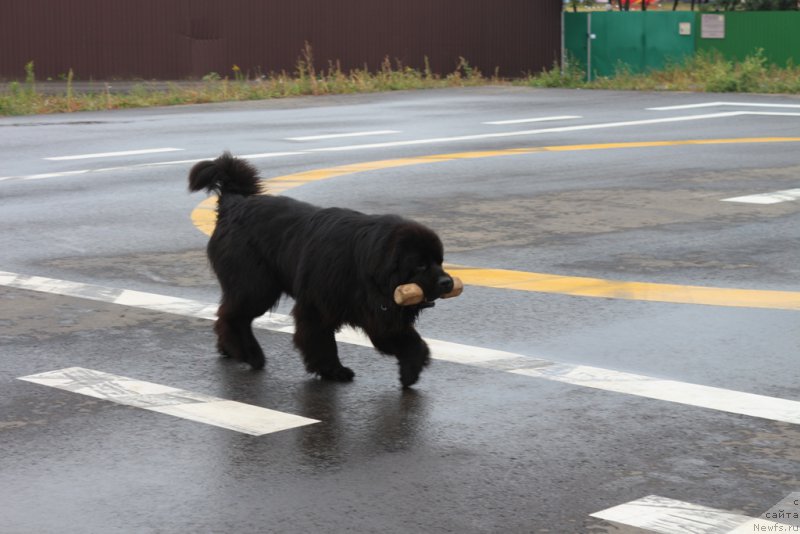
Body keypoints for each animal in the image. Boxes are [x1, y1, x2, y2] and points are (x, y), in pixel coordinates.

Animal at [184, 153, 454, 388]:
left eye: (440, 261)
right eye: (420, 264)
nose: (447, 282)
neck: (364, 264)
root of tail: (234, 204)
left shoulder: (377, 312)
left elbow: (408, 340)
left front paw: (411, 369)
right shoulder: (317, 307)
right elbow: (322, 341)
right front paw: (333, 370)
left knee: (226, 314)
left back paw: (229, 350)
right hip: (256, 286)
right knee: (233, 317)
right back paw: (250, 355)